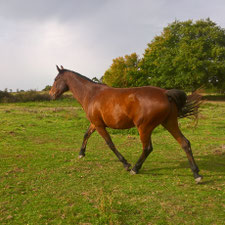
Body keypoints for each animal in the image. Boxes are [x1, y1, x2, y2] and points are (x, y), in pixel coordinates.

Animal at [49, 65, 202, 183]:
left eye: (56, 79)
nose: (51, 94)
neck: (91, 94)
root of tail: (165, 93)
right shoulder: (95, 123)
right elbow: (86, 135)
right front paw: (81, 154)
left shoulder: (99, 125)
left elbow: (110, 144)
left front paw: (126, 164)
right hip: (169, 123)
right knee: (185, 143)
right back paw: (197, 174)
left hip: (144, 128)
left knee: (148, 148)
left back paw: (135, 169)